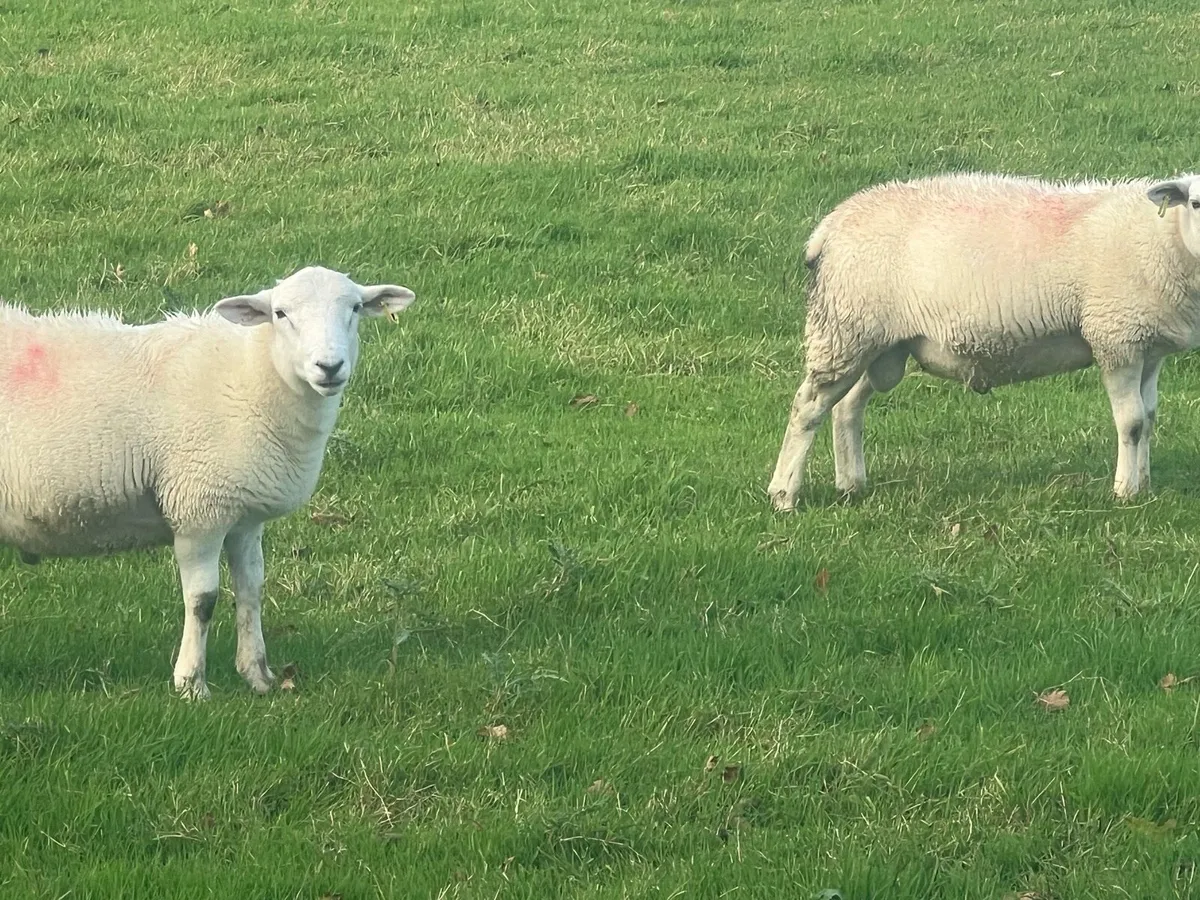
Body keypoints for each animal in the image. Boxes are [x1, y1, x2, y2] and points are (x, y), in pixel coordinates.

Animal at [0, 266, 416, 698]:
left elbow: (251, 589)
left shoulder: (245, 517)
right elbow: (203, 600)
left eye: (355, 308)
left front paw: (258, 675)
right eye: (280, 313)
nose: (329, 366)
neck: (252, 376)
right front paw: (191, 684)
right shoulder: (199, 509)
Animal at [768, 172, 1200, 510]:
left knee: (847, 407)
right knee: (806, 408)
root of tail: (829, 226)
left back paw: (851, 484)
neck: (1163, 238)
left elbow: (1149, 417)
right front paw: (1125, 492)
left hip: (879, 343)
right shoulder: (1115, 337)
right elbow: (1131, 422)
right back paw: (784, 494)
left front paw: (1144, 485)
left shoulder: (1148, 347)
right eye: (1195, 203)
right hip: (844, 328)